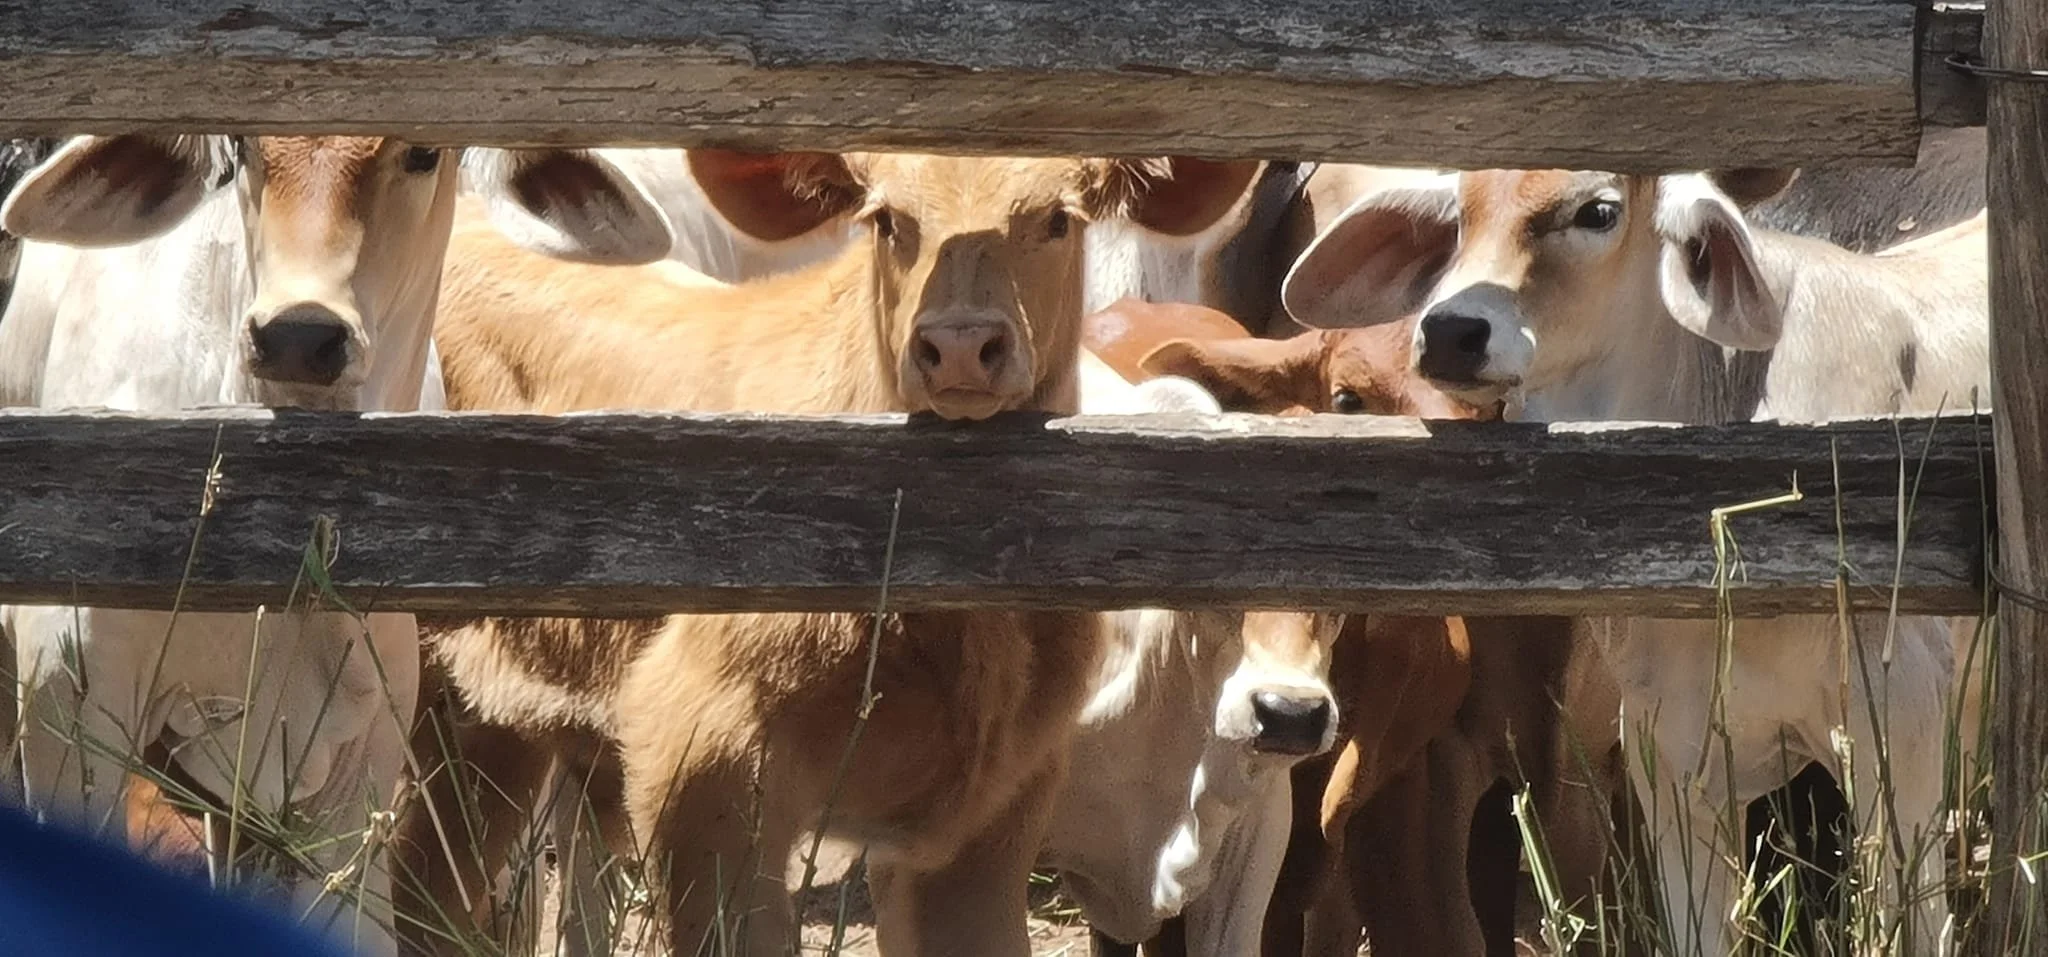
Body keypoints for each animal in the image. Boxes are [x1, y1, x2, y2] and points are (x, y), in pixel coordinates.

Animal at [397, 151, 1268, 957]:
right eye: (887, 221)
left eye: (1057, 219)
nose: (959, 344)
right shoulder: (699, 755)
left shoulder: (992, 806)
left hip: (489, 727)